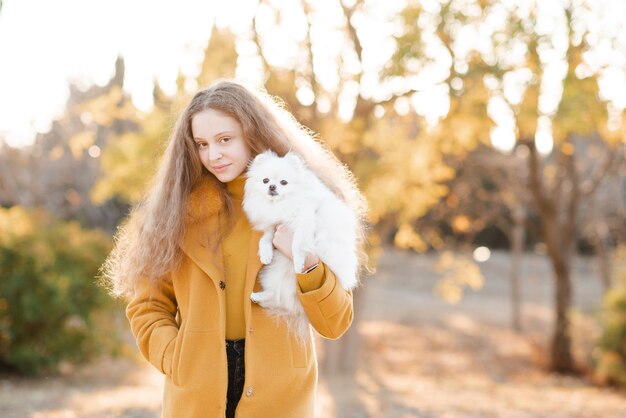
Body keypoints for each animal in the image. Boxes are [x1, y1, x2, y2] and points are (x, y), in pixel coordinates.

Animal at [243, 150, 358, 342]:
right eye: (265, 180)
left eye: (283, 182)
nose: (272, 186)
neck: (280, 205)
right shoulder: (273, 225)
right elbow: (265, 238)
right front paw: (265, 254)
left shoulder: (304, 222)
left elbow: (297, 244)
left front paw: (299, 262)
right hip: (277, 272)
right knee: (276, 294)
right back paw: (258, 296)